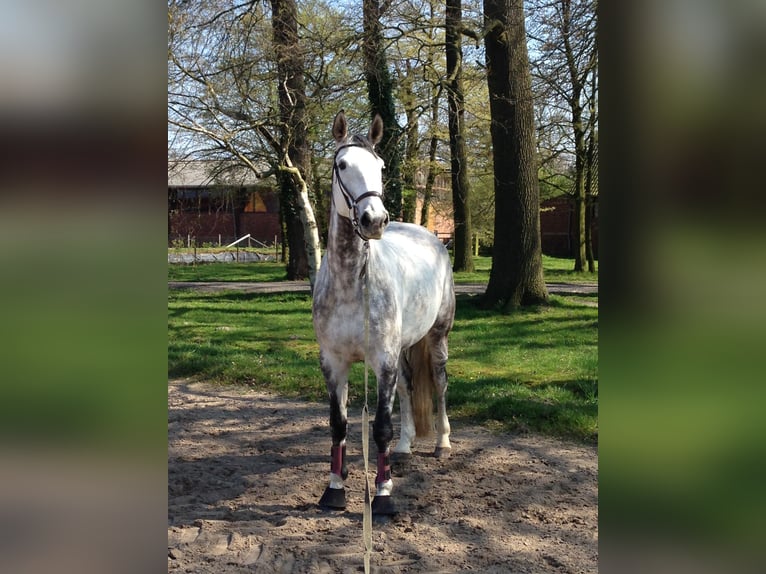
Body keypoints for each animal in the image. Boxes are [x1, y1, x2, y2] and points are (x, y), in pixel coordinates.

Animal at [312, 111, 456, 516]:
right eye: (342, 165)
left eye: (380, 167)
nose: (373, 220)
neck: (351, 285)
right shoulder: (333, 362)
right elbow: (338, 425)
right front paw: (334, 489)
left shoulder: (383, 360)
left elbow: (380, 428)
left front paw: (384, 494)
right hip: (403, 347)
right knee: (408, 388)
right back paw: (405, 449)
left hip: (436, 337)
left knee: (439, 383)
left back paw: (442, 444)